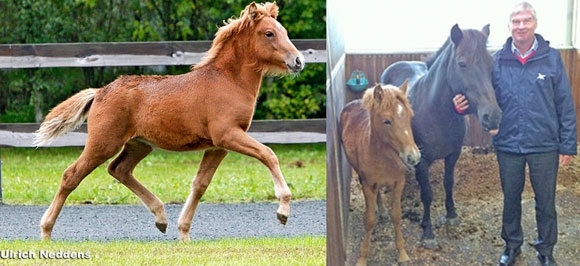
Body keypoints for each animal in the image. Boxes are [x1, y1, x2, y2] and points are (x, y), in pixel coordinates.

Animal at [32, 1, 304, 241]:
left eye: (284, 31)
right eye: (269, 33)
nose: (298, 61)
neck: (227, 80)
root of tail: (99, 92)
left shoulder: (217, 146)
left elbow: (200, 184)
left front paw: (183, 232)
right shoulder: (228, 135)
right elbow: (268, 154)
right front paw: (283, 210)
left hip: (139, 144)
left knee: (119, 169)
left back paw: (161, 218)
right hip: (103, 143)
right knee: (71, 175)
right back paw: (45, 231)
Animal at [338, 81, 420, 266]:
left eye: (410, 117)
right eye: (387, 121)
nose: (413, 156)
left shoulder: (398, 183)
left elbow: (396, 215)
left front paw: (402, 254)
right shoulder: (368, 184)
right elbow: (369, 220)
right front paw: (362, 258)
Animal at [382, 23, 500, 248]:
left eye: (491, 63)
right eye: (462, 63)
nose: (493, 116)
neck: (435, 112)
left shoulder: (452, 155)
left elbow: (448, 183)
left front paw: (451, 215)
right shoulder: (422, 161)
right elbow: (427, 194)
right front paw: (428, 232)